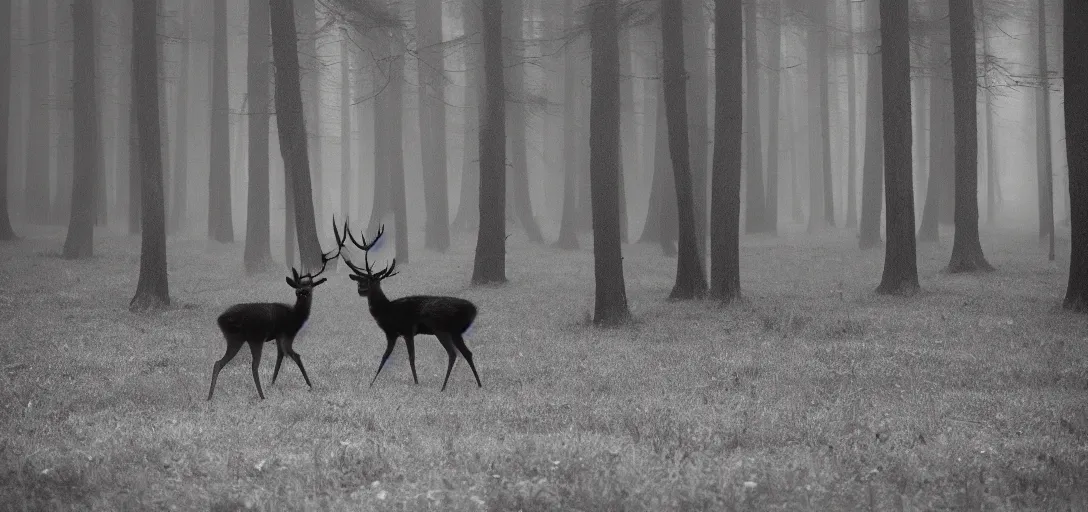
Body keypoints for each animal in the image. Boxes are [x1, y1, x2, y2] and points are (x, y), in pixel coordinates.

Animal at [205, 220, 345, 400]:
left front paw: (272, 382)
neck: (296, 316)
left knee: (218, 363)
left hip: (235, 338)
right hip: (254, 336)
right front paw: (310, 384)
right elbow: (295, 355)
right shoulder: (287, 334)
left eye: (308, 289)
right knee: (253, 366)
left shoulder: (279, 336)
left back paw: (210, 396)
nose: (302, 292)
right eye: (299, 290)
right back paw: (261, 396)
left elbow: (280, 357)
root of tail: (220, 319)